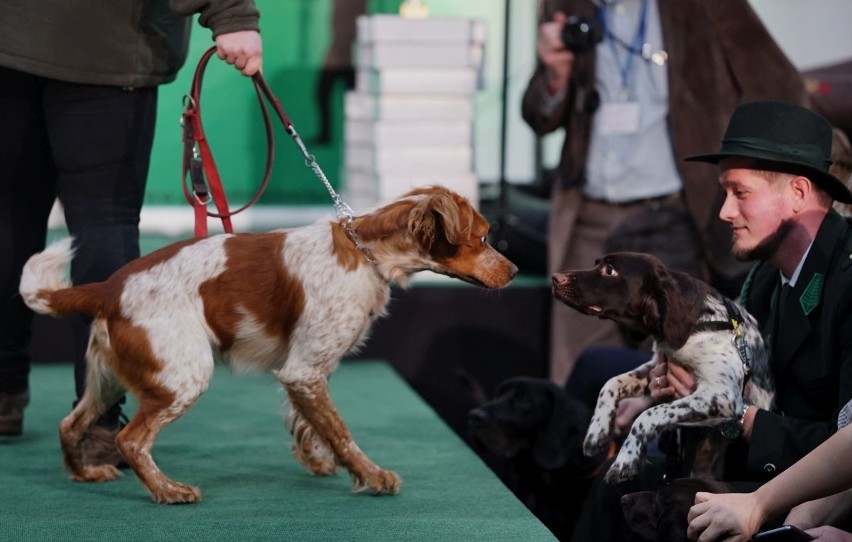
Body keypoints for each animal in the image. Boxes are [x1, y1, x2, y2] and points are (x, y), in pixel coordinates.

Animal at [20, 186, 516, 506]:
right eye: (483, 238)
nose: (513, 271)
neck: (365, 253)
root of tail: (108, 287)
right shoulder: (305, 370)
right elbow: (341, 432)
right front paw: (372, 476)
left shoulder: (309, 369)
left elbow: (311, 424)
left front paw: (318, 462)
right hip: (183, 375)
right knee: (131, 440)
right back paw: (168, 491)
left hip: (108, 380)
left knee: (70, 424)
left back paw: (84, 473)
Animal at [548, 253, 776, 486]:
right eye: (596, 264)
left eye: (610, 270)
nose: (555, 278)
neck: (697, 324)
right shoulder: (658, 368)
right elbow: (611, 383)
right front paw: (597, 432)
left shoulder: (722, 395)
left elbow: (648, 415)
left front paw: (625, 460)